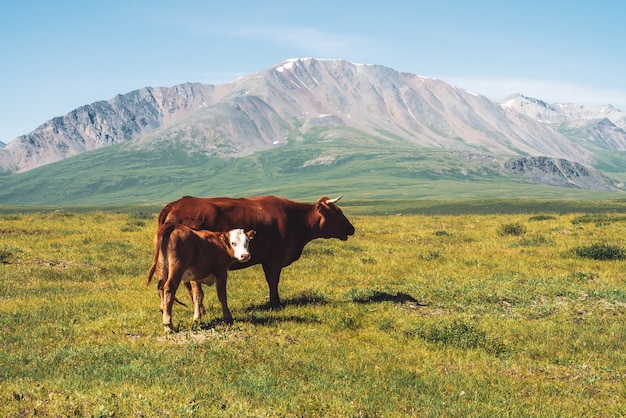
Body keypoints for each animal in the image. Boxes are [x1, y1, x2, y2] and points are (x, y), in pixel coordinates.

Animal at [158, 194, 354, 308]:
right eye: (338, 212)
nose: (352, 228)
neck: (295, 219)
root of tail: (176, 204)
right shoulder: (274, 258)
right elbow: (273, 280)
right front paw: (275, 303)